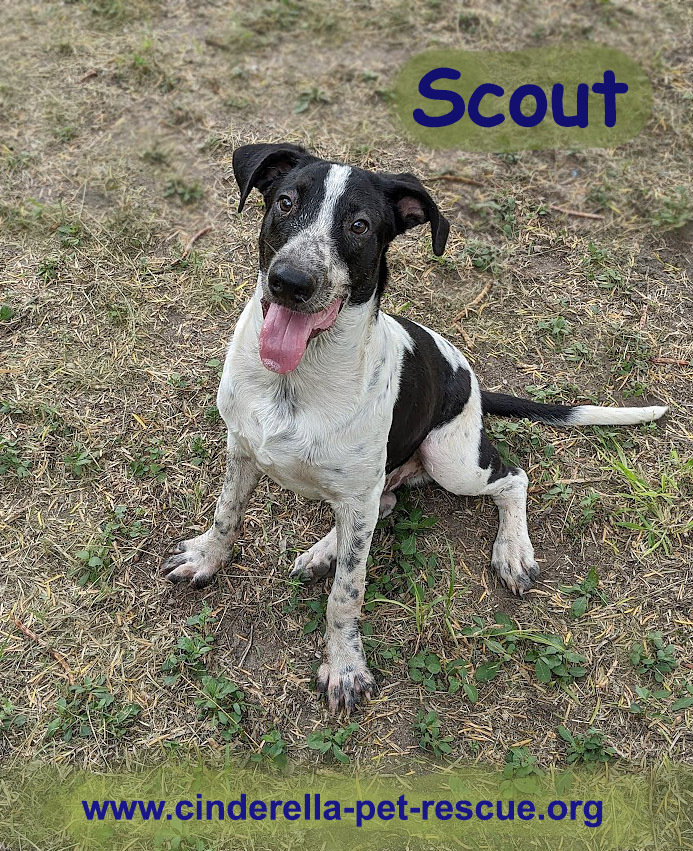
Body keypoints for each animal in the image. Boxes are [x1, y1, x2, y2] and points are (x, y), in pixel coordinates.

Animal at [162, 143, 664, 716]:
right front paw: (207, 558)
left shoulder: (355, 498)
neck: (293, 380)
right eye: (285, 202)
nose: (290, 282)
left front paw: (344, 664)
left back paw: (512, 550)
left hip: (452, 460)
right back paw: (324, 550)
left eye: (359, 225)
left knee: (511, 478)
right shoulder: (242, 449)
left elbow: (346, 596)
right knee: (386, 502)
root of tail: (473, 382)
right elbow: (227, 515)